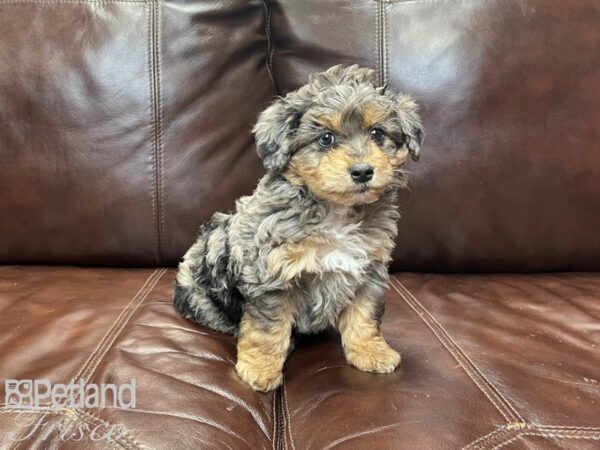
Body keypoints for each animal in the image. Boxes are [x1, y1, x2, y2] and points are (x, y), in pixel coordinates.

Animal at [173, 63, 422, 390]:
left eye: (376, 133)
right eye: (326, 139)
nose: (363, 171)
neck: (335, 212)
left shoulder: (370, 270)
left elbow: (364, 316)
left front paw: (371, 351)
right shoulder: (272, 278)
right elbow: (267, 331)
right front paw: (260, 369)